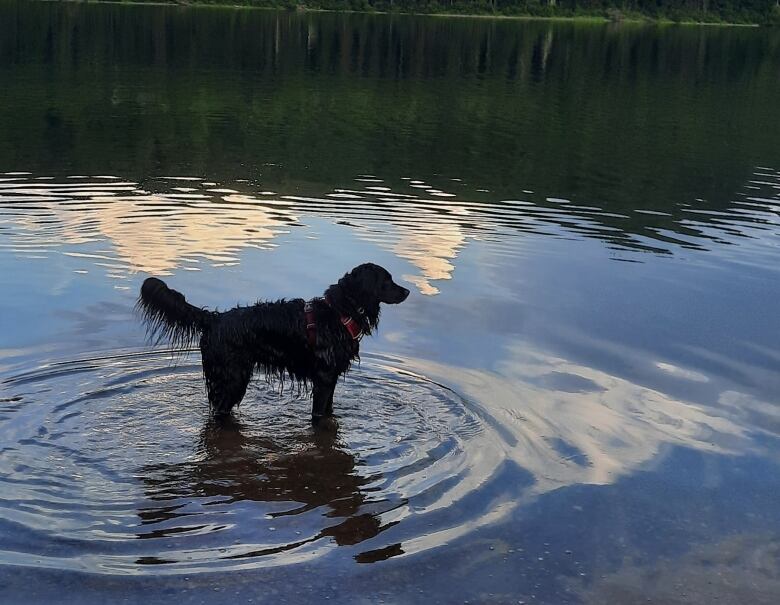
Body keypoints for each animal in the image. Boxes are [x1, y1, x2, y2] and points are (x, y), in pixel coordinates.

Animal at [137, 264, 412, 424]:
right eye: (387, 280)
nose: (407, 292)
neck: (340, 312)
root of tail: (215, 319)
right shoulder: (324, 378)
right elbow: (320, 415)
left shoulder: (331, 378)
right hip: (232, 379)